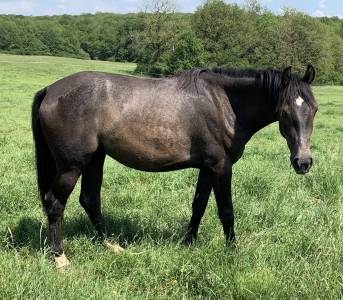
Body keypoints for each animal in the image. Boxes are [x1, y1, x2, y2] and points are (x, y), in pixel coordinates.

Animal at [32, 63, 320, 270]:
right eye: (284, 112)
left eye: (314, 109)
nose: (303, 162)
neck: (224, 104)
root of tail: (50, 90)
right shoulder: (221, 167)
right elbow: (226, 210)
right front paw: (232, 250)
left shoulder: (207, 168)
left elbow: (199, 205)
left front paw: (189, 241)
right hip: (72, 165)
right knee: (55, 202)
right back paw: (60, 258)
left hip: (95, 158)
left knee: (90, 199)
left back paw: (111, 245)